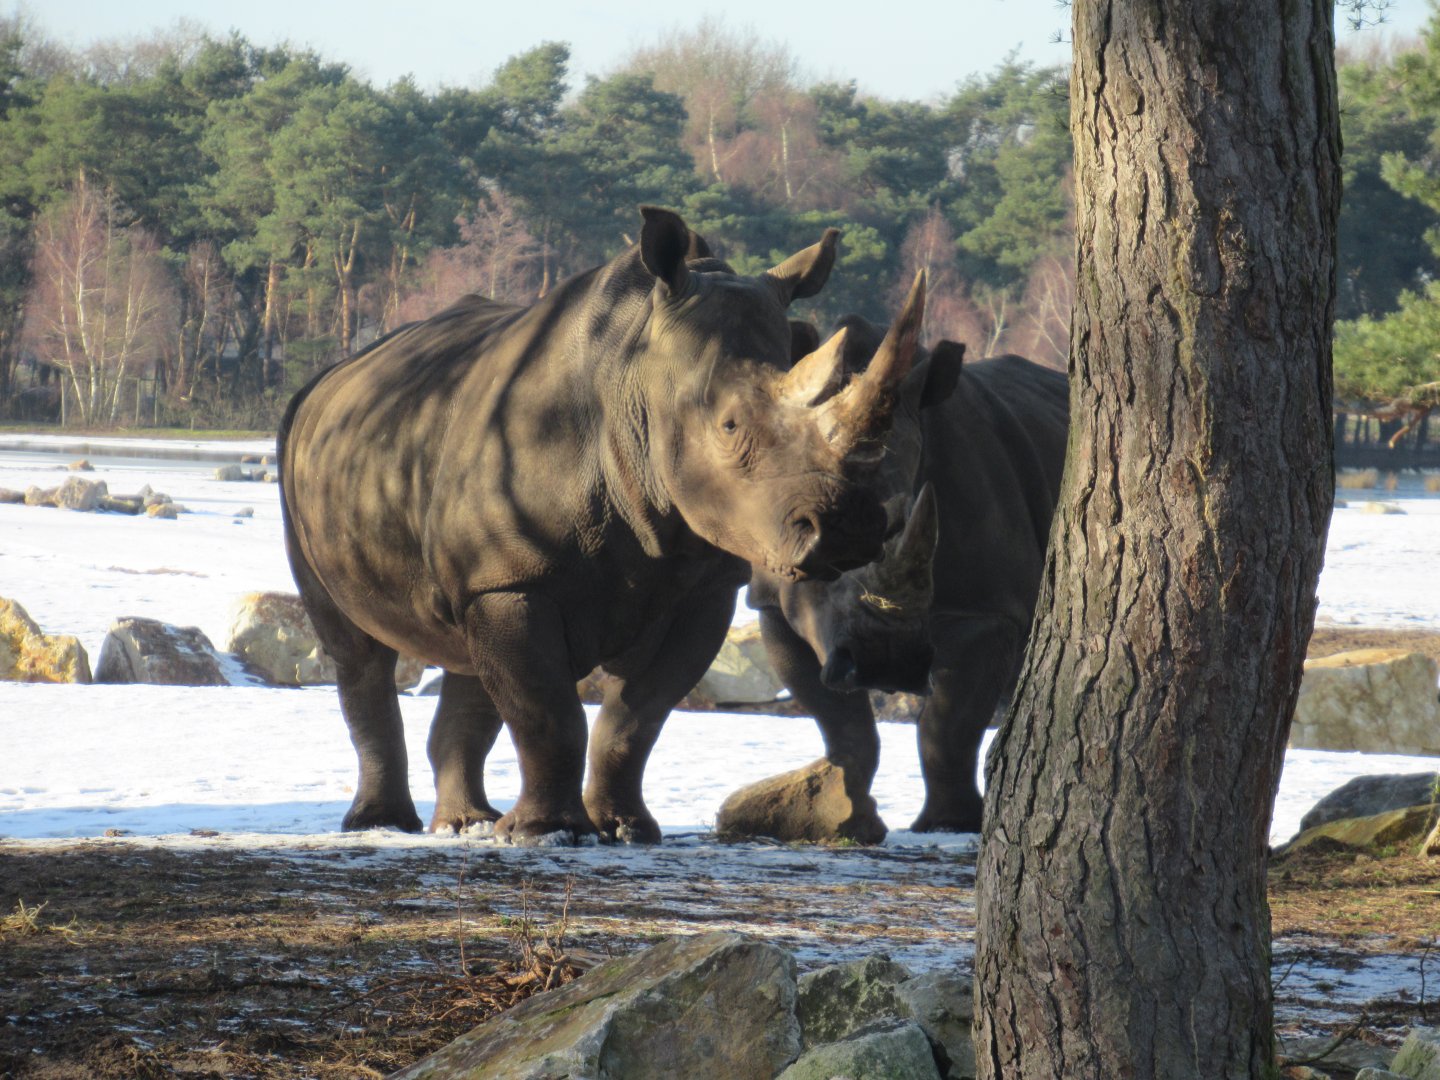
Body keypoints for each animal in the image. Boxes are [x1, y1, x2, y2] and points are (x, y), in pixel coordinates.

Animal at [279, 207, 927, 842]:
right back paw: (383, 824)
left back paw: (468, 825)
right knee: (358, 654)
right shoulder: (515, 578)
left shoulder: (701, 586)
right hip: (302, 455)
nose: (849, 530)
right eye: (729, 426)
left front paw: (626, 829)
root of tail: (331, 376)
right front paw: (549, 834)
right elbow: (548, 712)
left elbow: (636, 720)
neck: (636, 381)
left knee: (469, 654)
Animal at [747, 317, 1069, 837]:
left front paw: (947, 826)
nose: (887, 663)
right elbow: (841, 723)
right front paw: (844, 820)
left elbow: (946, 727)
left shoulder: (986, 609)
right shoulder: (772, 605)